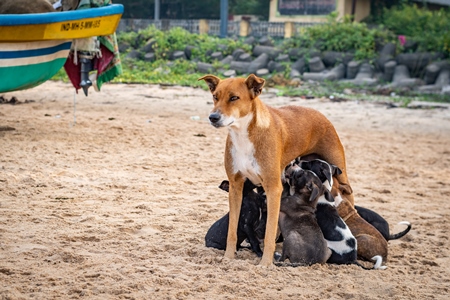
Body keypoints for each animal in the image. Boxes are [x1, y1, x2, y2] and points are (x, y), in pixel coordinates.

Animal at [199, 74, 354, 266]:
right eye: (215, 97)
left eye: (234, 98)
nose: (213, 117)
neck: (244, 135)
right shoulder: (236, 187)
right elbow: (232, 230)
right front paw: (228, 258)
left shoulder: (273, 189)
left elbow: (269, 233)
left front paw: (265, 263)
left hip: (342, 174)